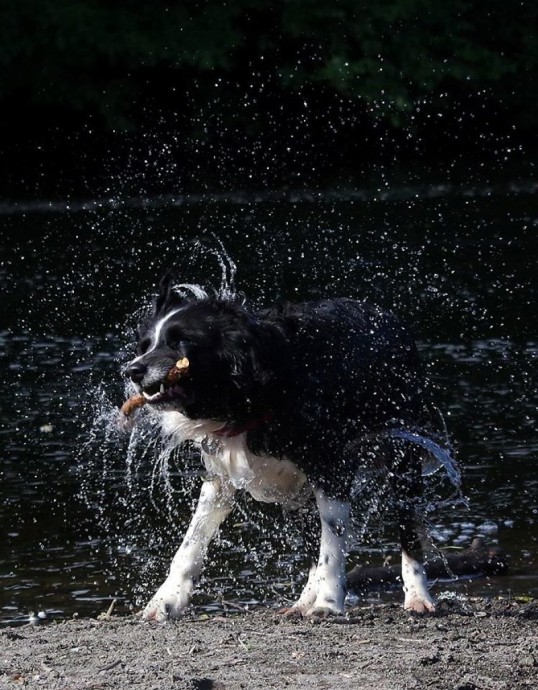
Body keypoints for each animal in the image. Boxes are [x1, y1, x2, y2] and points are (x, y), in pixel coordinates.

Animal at [123, 274, 442, 620]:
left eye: (181, 342)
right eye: (145, 346)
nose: (132, 370)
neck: (254, 392)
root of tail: (389, 318)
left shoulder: (331, 470)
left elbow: (333, 544)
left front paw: (329, 602)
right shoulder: (219, 477)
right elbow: (189, 545)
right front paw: (164, 601)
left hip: (403, 460)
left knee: (408, 531)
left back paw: (417, 597)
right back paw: (302, 601)